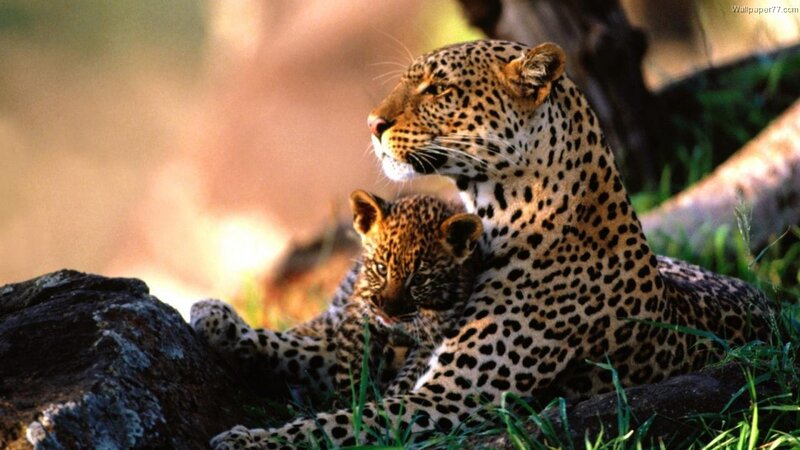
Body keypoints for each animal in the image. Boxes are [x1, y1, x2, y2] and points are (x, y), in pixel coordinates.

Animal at [191, 190, 482, 401]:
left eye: (420, 279)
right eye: (381, 268)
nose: (387, 312)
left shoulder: (424, 340)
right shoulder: (344, 316)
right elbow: (297, 339)